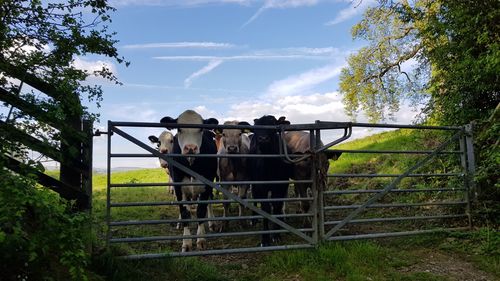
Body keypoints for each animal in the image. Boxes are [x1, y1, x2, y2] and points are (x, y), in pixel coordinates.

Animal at [160, 108, 219, 250]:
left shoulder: (206, 184)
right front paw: (186, 242)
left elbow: (201, 211)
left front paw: (201, 239)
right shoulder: (178, 186)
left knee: (209, 202)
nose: (191, 147)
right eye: (179, 129)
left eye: (200, 129)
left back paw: (212, 223)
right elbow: (185, 213)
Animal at [249, 114, 294, 245]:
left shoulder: (281, 185)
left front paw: (276, 234)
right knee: (254, 197)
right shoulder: (260, 186)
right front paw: (265, 239)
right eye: (256, 128)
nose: (263, 138)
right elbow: (266, 209)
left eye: (273, 125)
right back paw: (254, 218)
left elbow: (277, 206)